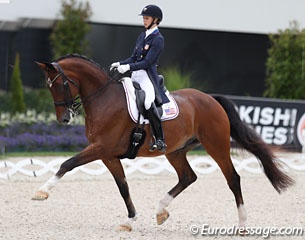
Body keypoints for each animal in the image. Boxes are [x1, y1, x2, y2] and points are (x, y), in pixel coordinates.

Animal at [32, 54, 292, 231]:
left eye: (60, 84)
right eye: (48, 87)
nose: (64, 119)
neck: (104, 99)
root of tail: (210, 98)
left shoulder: (101, 148)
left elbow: (68, 163)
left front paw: (41, 192)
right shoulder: (107, 154)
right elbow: (123, 186)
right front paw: (129, 221)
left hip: (216, 146)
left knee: (233, 178)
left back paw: (242, 225)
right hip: (175, 151)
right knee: (188, 177)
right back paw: (161, 211)